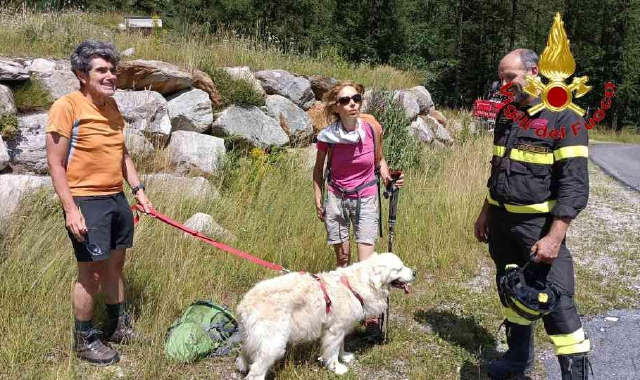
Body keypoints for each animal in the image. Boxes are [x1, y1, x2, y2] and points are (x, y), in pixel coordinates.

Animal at [235, 252, 416, 380]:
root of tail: (245, 304)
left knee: (245, 354)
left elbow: (341, 346)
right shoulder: (334, 331)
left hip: (254, 338)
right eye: (398, 269)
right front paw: (337, 368)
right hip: (273, 343)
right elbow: (333, 352)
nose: (415, 272)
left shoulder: (340, 328)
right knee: (256, 372)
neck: (355, 286)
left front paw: (345, 357)